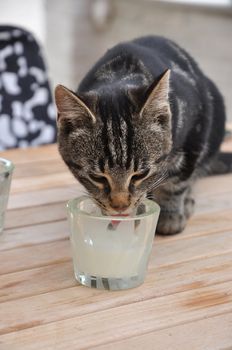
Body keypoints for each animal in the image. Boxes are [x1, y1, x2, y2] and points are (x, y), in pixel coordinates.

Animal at [54, 35, 230, 235]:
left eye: (140, 174)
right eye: (97, 177)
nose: (120, 206)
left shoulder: (197, 128)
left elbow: (177, 180)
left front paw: (170, 214)